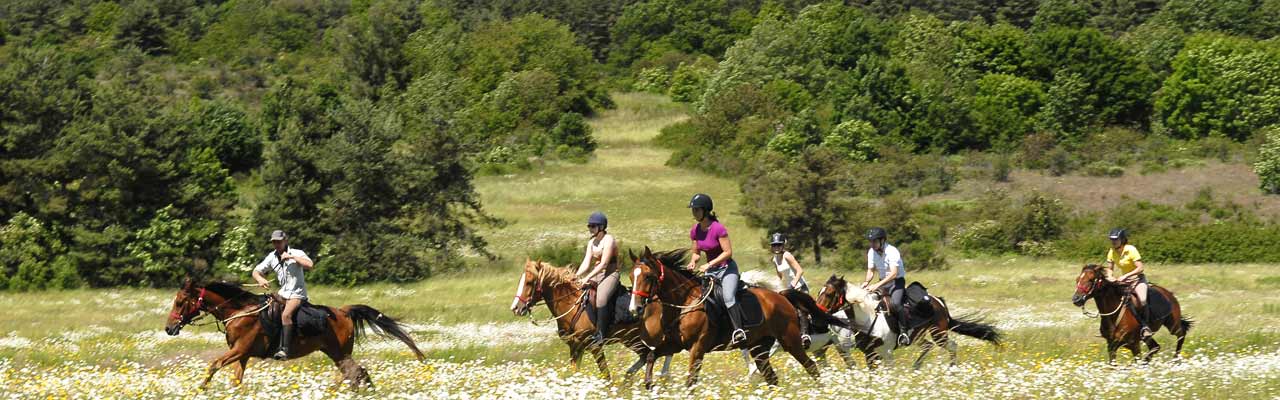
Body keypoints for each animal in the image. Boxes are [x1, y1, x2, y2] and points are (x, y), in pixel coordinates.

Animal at [162, 279, 424, 389]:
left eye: (180, 302)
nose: (169, 328)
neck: (239, 311)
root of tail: (344, 311)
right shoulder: (242, 355)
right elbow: (237, 379)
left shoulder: (239, 350)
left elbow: (214, 365)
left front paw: (201, 389)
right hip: (336, 353)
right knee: (355, 374)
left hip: (339, 353)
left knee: (356, 373)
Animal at [504, 257, 675, 379]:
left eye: (529, 282)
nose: (516, 308)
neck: (571, 305)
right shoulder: (575, 347)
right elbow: (574, 373)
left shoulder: (594, 346)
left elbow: (606, 374)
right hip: (632, 340)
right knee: (647, 356)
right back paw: (631, 377)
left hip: (648, 337)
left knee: (663, 352)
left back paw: (663, 377)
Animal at [622, 244, 839, 389]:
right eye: (632, 277)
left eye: (648, 277)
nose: (635, 309)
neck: (684, 303)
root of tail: (781, 296)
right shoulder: (674, 344)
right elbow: (651, 356)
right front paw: (650, 385)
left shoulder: (697, 348)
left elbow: (691, 381)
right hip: (759, 347)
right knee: (771, 377)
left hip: (790, 341)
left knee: (811, 367)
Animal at [814, 274, 1003, 369]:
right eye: (819, 292)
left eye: (829, 294)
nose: (816, 312)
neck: (868, 317)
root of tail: (938, 301)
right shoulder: (869, 353)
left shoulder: (886, 352)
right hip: (918, 336)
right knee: (928, 346)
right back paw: (916, 367)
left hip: (939, 333)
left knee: (952, 346)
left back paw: (951, 369)